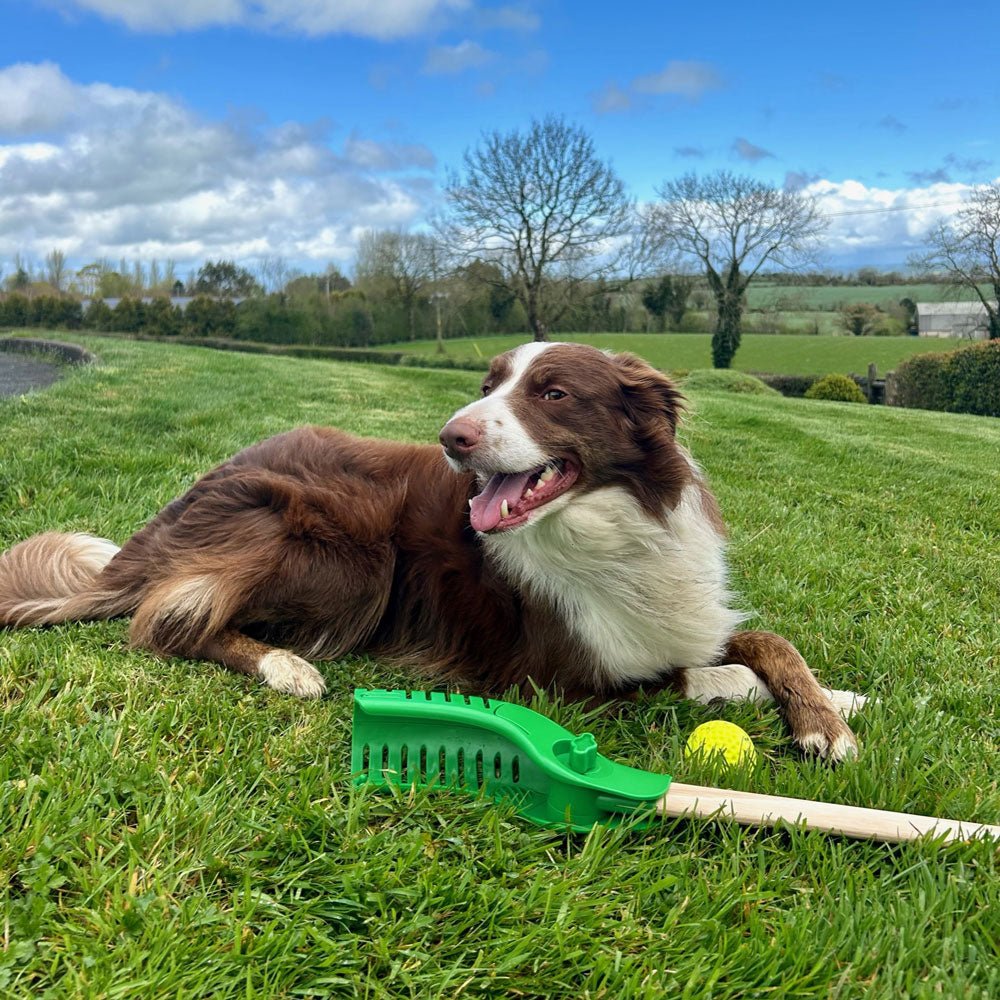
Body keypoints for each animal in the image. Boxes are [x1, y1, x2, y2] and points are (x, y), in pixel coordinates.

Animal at [0, 344, 864, 756]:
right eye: (486, 386)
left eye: (553, 393)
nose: (452, 437)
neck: (609, 525)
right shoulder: (551, 672)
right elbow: (680, 678)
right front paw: (750, 690)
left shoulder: (680, 611)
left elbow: (767, 640)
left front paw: (829, 713)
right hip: (345, 552)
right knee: (165, 620)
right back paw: (286, 666)